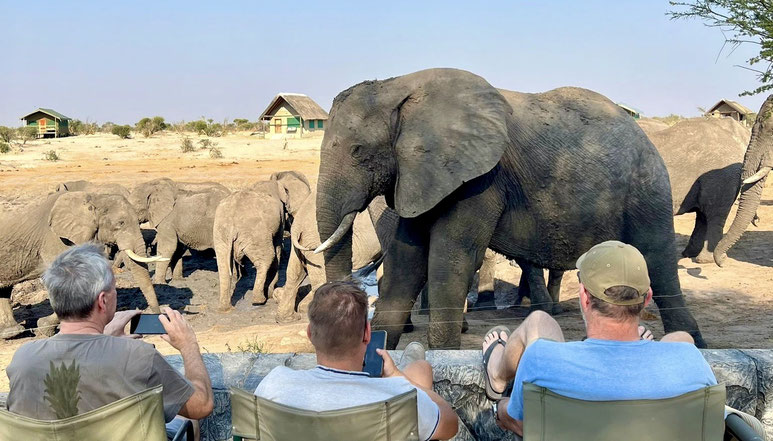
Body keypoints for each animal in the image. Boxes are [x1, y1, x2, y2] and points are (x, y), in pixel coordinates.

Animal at [0, 191, 166, 338]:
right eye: (121, 223)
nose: (156, 317)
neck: (94, 198)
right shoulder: (56, 239)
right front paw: (45, 328)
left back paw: (12, 333)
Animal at [313, 68, 704, 349]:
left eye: (358, 151)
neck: (400, 86)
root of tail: (644, 134)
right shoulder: (420, 176)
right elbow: (406, 261)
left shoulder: (480, 179)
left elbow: (450, 259)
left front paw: (442, 355)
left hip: (647, 190)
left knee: (658, 260)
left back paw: (693, 344)